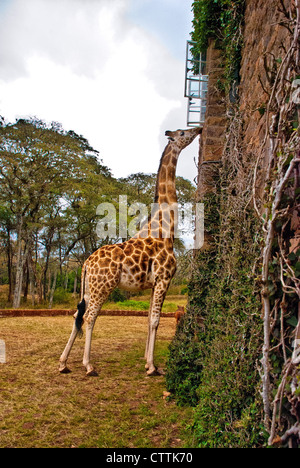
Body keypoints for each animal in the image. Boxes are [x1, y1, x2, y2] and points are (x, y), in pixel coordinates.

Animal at [58, 127, 202, 376]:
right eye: (183, 133)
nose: (198, 129)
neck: (164, 229)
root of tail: (85, 263)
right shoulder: (165, 278)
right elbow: (155, 320)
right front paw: (152, 367)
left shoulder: (154, 283)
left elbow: (149, 319)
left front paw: (147, 361)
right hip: (102, 286)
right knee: (90, 317)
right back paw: (88, 365)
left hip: (88, 288)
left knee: (77, 315)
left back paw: (63, 363)